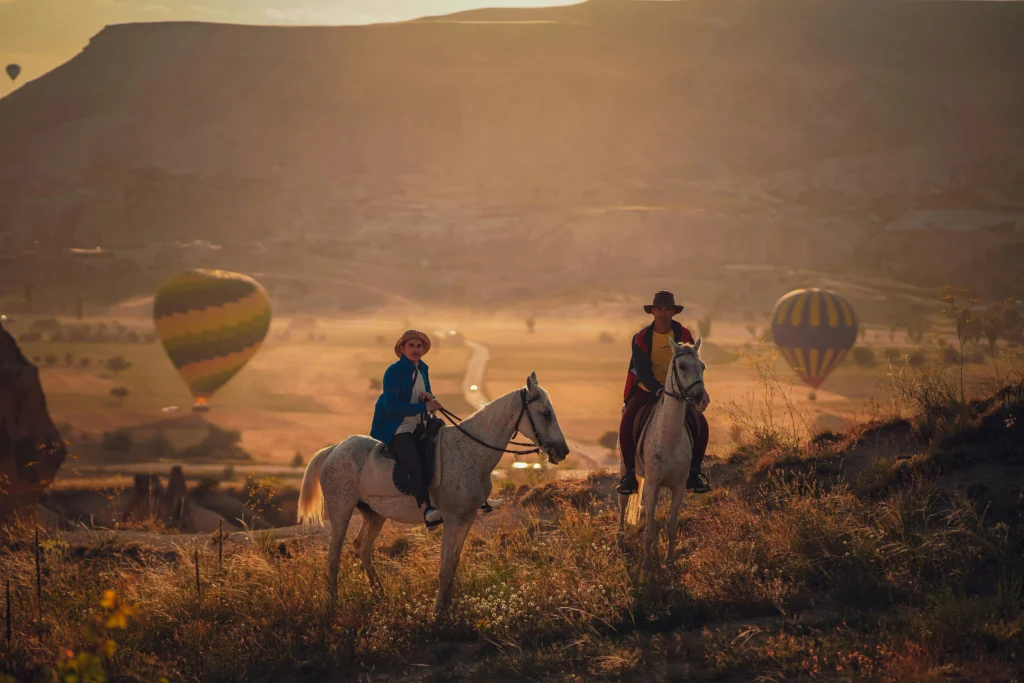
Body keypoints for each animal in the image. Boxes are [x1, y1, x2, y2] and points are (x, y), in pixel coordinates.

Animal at [296, 374, 573, 614]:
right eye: (546, 413)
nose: (563, 451)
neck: (471, 451)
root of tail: (334, 449)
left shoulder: (467, 518)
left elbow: (453, 564)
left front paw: (448, 605)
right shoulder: (451, 519)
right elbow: (444, 567)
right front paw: (438, 612)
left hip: (374, 514)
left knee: (362, 548)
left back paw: (379, 593)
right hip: (341, 512)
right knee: (333, 557)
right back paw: (333, 602)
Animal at [614, 339, 712, 573]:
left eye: (703, 366)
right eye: (682, 366)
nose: (702, 399)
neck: (669, 438)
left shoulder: (678, 487)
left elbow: (671, 526)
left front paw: (668, 562)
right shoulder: (652, 484)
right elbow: (649, 530)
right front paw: (646, 566)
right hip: (624, 469)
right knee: (622, 504)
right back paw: (619, 543)